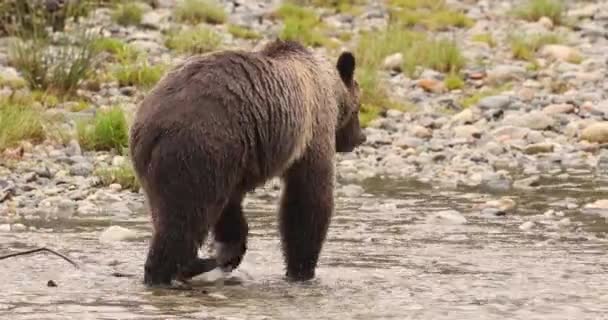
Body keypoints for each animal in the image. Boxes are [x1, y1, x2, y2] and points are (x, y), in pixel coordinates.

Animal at [128, 38, 366, 286]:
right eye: (359, 108)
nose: (361, 137)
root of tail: (151, 128)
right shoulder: (312, 132)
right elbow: (308, 198)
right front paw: (301, 270)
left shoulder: (238, 162)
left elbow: (231, 212)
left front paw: (230, 251)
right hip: (197, 150)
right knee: (183, 219)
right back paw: (174, 270)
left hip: (160, 167)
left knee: (169, 214)